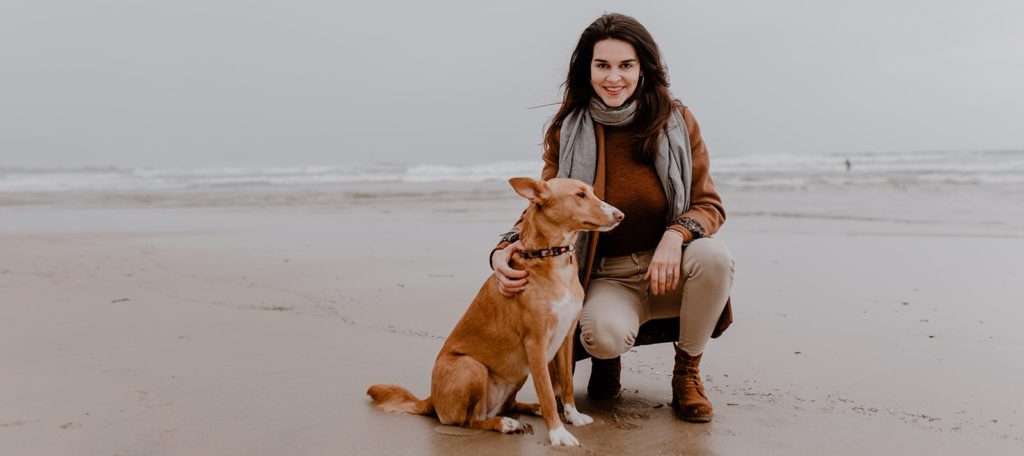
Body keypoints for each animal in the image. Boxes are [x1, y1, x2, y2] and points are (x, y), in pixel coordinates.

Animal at [368, 177, 622, 444]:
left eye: (592, 192)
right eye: (580, 195)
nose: (620, 215)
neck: (551, 258)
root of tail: (430, 400)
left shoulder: (566, 338)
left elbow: (566, 384)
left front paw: (573, 416)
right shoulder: (535, 345)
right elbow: (547, 393)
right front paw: (558, 434)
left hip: (518, 372)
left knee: (507, 406)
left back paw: (529, 410)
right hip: (472, 367)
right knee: (470, 420)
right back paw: (505, 424)